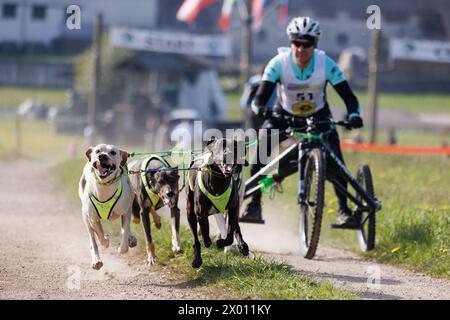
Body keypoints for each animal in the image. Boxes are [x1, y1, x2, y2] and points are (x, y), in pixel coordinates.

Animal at [186, 138, 250, 268]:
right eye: (220, 146)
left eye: (235, 147)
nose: (228, 154)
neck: (219, 181)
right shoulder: (200, 211)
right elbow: (204, 228)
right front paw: (207, 241)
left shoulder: (233, 207)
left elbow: (230, 233)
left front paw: (221, 242)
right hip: (190, 211)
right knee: (195, 238)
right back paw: (197, 259)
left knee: (235, 226)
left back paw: (242, 246)